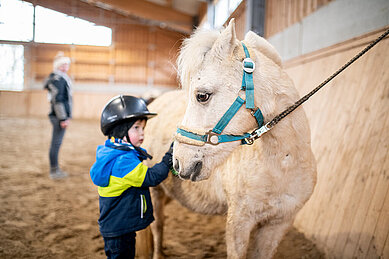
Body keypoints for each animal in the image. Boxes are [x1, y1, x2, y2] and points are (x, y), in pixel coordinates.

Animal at [142, 19, 316, 258]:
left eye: (202, 95)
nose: (178, 161)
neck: (284, 165)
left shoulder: (278, 224)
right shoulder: (239, 222)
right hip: (155, 191)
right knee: (158, 227)